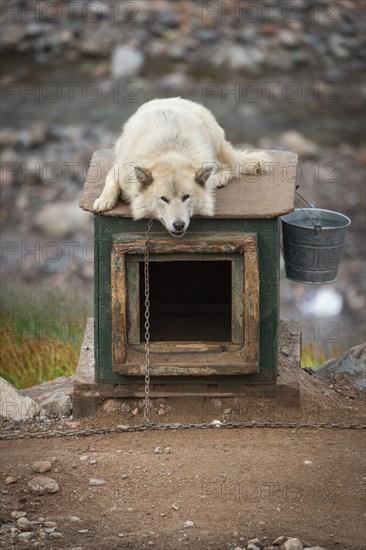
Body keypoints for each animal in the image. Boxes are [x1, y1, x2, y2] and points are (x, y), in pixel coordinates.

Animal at [92, 98, 268, 236]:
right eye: (164, 199)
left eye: (186, 197)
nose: (178, 225)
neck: (169, 152)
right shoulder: (119, 169)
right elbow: (111, 183)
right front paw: (104, 200)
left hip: (215, 143)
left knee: (230, 165)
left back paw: (220, 178)